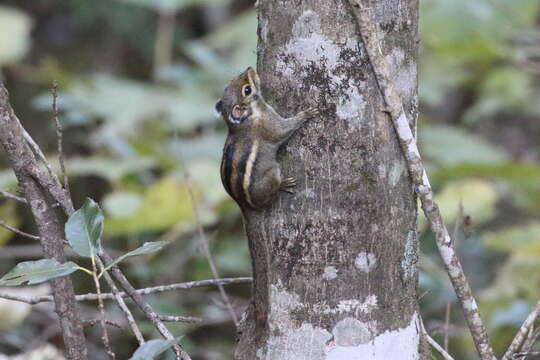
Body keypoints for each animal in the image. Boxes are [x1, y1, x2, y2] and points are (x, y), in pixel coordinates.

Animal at [214, 66, 318, 210]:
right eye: (247, 90)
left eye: (232, 80)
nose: (249, 68)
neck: (247, 118)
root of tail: (241, 202)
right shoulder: (269, 124)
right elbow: (283, 130)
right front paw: (305, 114)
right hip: (271, 175)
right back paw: (282, 184)